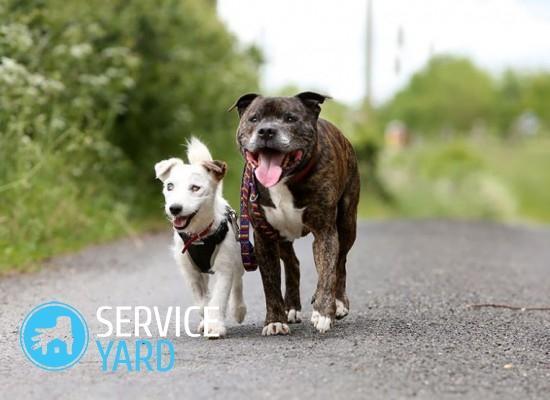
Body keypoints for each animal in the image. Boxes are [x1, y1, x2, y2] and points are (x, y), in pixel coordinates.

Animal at [157, 138, 248, 338]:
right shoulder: (191, 273)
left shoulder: (224, 269)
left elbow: (218, 298)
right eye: (169, 186)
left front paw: (214, 326)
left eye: (195, 188)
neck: (199, 235)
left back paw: (238, 309)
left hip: (238, 257)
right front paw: (206, 321)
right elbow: (202, 302)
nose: (174, 208)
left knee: (238, 282)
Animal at [230, 91, 362, 334]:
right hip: (281, 236)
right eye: (254, 119)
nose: (266, 131)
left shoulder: (325, 232)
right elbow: (270, 283)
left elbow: (328, 271)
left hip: (348, 223)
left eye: (290, 118)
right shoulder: (263, 237)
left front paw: (324, 312)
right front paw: (275, 320)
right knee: (293, 263)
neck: (285, 179)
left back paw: (338, 303)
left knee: (340, 262)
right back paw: (291, 307)